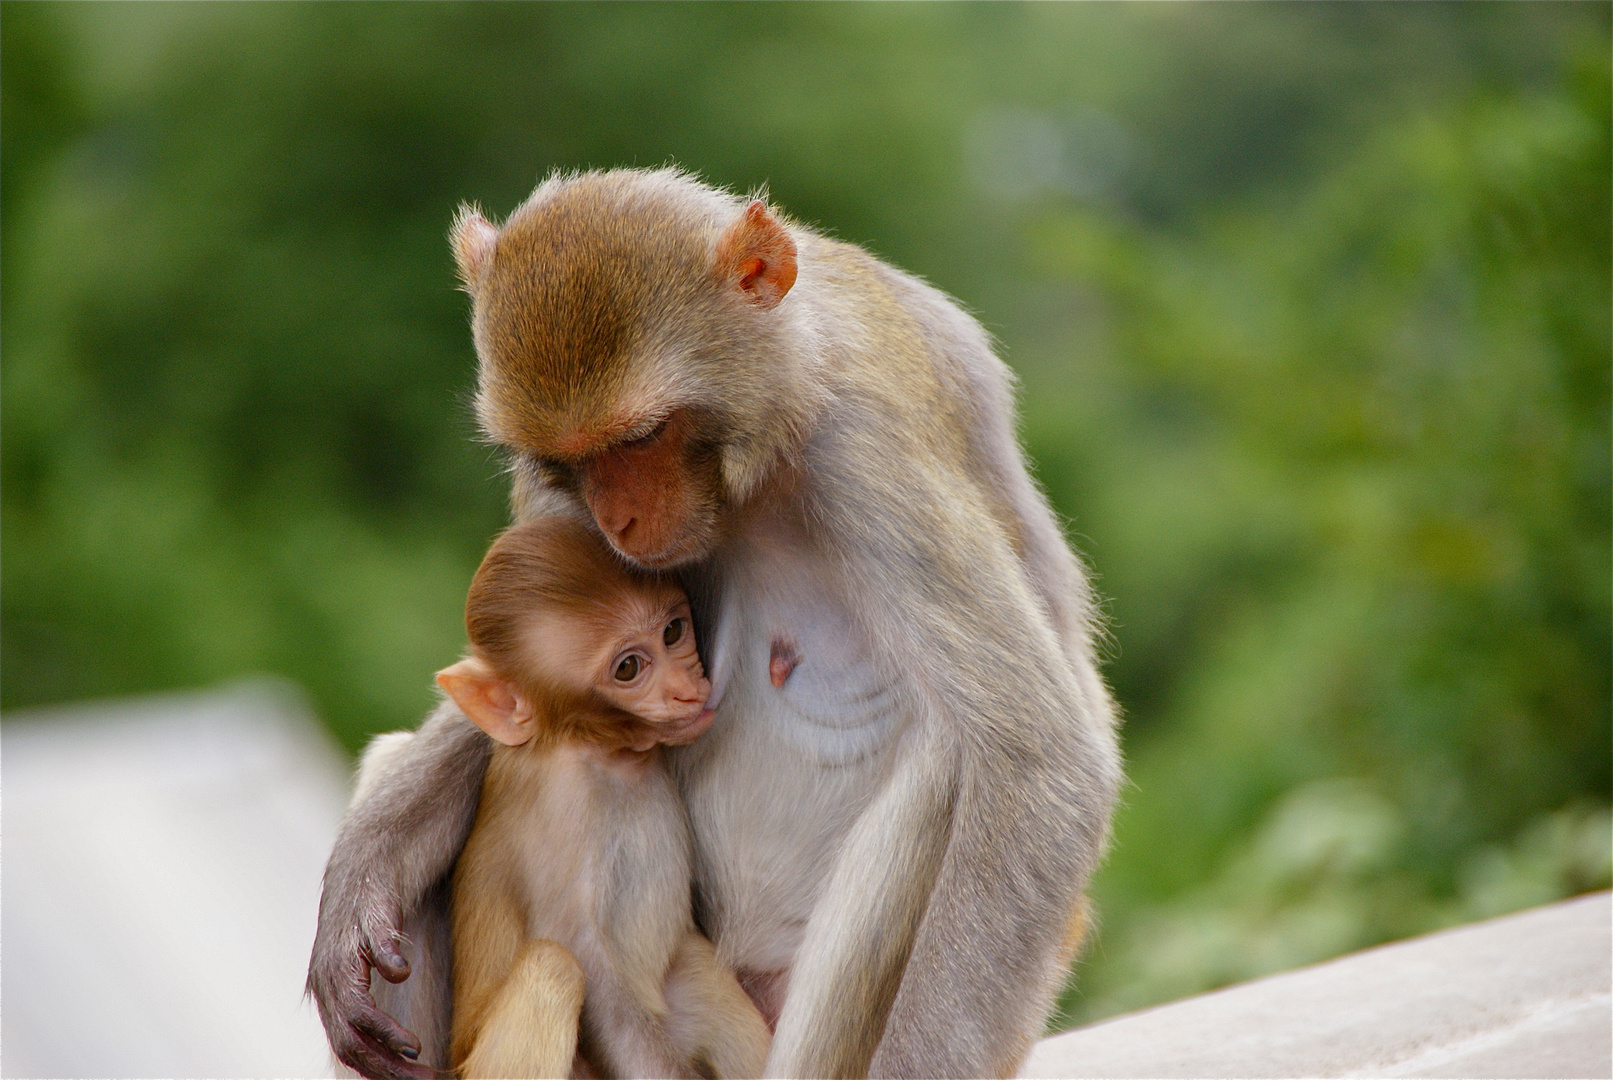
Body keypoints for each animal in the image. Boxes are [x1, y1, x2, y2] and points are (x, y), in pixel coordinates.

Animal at [435, 519, 774, 1076]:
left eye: (673, 632)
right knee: (554, 966)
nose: (686, 688)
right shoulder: (562, 810)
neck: (602, 754)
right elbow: (582, 957)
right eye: (629, 668)